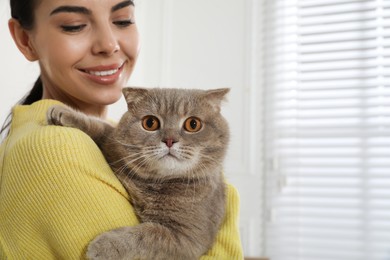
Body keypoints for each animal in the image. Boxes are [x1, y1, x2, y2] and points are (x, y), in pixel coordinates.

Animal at [46, 87, 229, 260]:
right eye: (150, 122)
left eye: (193, 124)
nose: (169, 140)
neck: (155, 182)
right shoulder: (112, 144)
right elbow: (100, 126)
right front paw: (62, 112)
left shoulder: (189, 239)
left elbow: (148, 235)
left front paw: (104, 245)